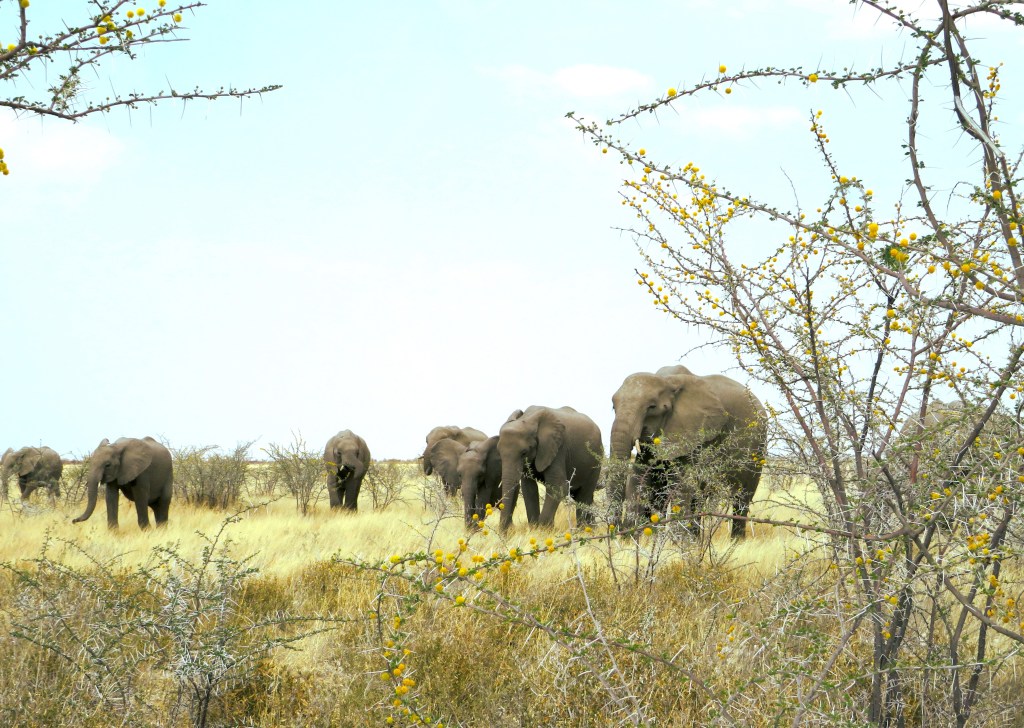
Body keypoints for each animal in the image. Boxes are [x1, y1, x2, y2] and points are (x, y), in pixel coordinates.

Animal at [609, 365, 767, 538]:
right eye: (613, 407)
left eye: (652, 407)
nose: (617, 529)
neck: (668, 380)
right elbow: (638, 475)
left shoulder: (695, 433)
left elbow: (681, 482)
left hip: (757, 448)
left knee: (742, 497)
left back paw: (736, 541)